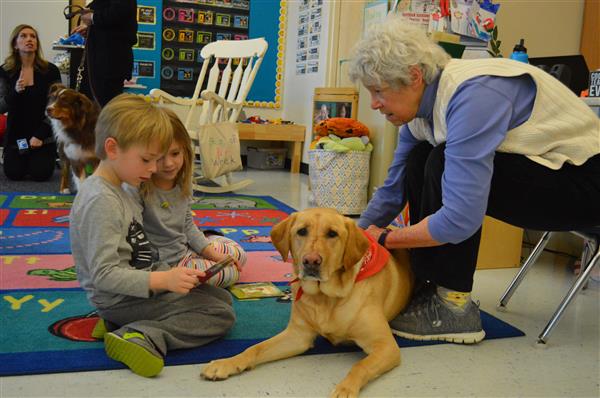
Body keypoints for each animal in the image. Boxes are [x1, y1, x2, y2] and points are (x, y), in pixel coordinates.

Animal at [200, 208, 412, 398]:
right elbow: (255, 348)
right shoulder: (297, 336)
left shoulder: (386, 346)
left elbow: (360, 365)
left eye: (332, 234)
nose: (311, 261)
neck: (325, 297)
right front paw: (226, 363)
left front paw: (345, 388)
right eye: (302, 231)